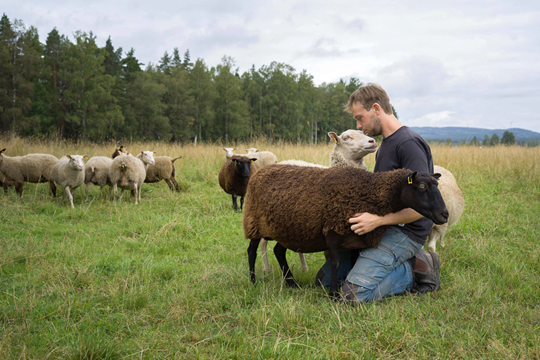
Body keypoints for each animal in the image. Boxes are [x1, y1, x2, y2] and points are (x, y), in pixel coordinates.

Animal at [244, 165, 448, 296]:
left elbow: (353, 264)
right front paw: (333, 294)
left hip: (287, 229)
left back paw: (292, 284)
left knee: (278, 251)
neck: (370, 192)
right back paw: (253, 282)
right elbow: (335, 263)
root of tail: (260, 171)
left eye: (437, 185)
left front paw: (343, 287)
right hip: (254, 223)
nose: (444, 214)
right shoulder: (333, 232)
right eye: (421, 185)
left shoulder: (356, 239)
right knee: (252, 251)